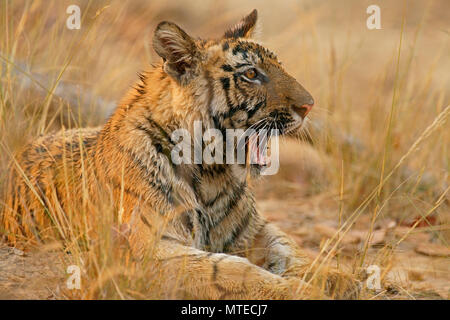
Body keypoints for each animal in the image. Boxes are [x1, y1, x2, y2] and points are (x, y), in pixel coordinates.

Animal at [0, 10, 358, 300]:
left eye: (279, 65)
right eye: (251, 74)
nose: (308, 105)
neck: (213, 173)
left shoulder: (255, 230)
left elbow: (291, 250)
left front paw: (342, 278)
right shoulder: (151, 248)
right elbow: (231, 271)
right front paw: (304, 291)